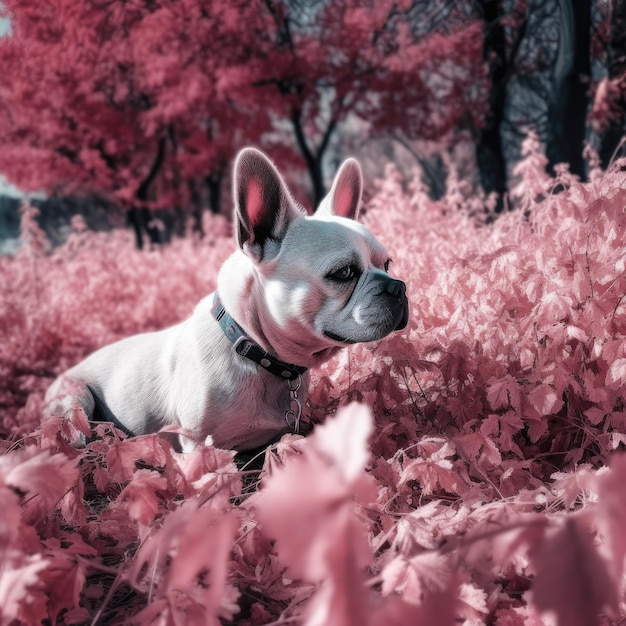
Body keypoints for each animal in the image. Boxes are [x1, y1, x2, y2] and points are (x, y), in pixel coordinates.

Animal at [44, 149, 408, 450]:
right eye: (344, 272)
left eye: (387, 264)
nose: (398, 287)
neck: (255, 350)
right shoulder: (197, 444)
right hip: (75, 402)